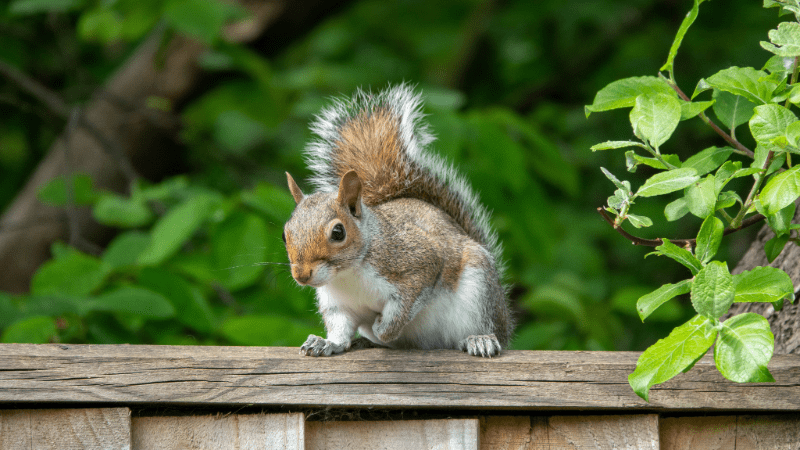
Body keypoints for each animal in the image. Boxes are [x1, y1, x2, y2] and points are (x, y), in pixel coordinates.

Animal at [284, 85, 516, 358]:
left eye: (338, 232)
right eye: (285, 234)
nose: (301, 275)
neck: (348, 274)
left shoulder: (417, 266)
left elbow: (401, 312)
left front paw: (380, 327)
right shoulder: (338, 305)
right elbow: (340, 330)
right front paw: (327, 343)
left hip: (479, 290)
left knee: (486, 327)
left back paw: (480, 339)